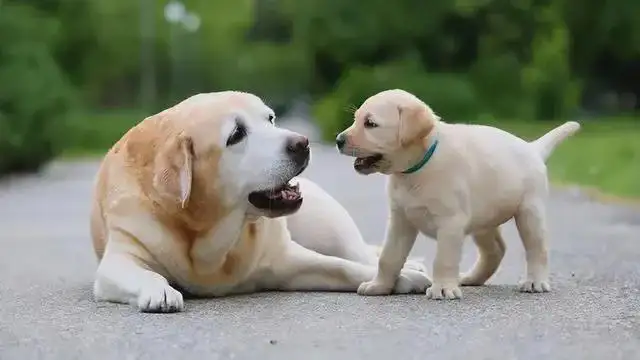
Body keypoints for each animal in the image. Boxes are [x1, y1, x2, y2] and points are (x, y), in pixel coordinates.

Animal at [90, 90, 430, 312]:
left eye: (270, 118)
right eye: (236, 134)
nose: (302, 143)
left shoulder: (288, 259)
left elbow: (346, 268)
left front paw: (401, 278)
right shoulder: (118, 260)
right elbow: (142, 272)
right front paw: (159, 289)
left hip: (329, 224)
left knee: (361, 254)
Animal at [336, 88, 580, 300]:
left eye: (370, 124)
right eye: (356, 119)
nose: (338, 140)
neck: (418, 168)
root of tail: (533, 148)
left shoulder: (450, 223)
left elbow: (443, 259)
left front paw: (443, 288)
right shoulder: (400, 221)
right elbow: (389, 257)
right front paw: (379, 286)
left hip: (529, 213)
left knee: (537, 249)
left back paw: (535, 282)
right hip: (484, 221)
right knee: (496, 250)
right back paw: (472, 278)